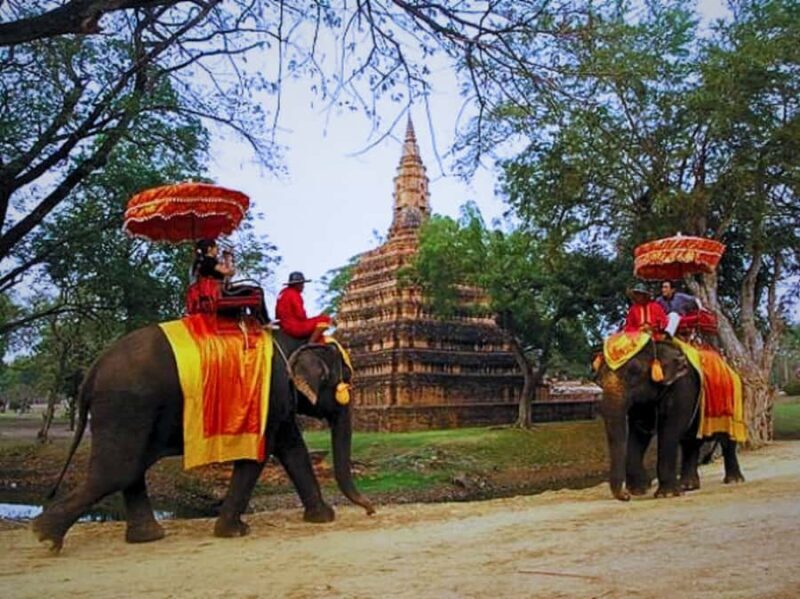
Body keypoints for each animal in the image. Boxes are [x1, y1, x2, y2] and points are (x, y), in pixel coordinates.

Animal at [32, 325, 375, 552]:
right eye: (347, 380)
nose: (371, 510)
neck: (295, 341)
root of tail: (92, 371)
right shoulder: (271, 392)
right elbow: (259, 454)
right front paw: (235, 532)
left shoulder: (279, 401)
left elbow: (292, 448)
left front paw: (323, 518)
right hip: (126, 406)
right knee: (117, 471)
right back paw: (44, 536)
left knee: (130, 469)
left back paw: (147, 537)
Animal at [594, 340, 744, 501]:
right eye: (599, 378)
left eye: (634, 371)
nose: (626, 496)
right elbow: (641, 430)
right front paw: (638, 491)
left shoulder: (682, 387)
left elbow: (669, 429)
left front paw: (667, 494)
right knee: (690, 442)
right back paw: (688, 486)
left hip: (734, 402)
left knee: (727, 440)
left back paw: (734, 480)